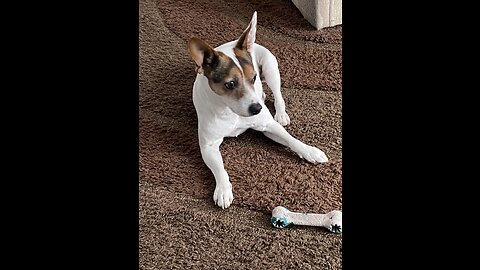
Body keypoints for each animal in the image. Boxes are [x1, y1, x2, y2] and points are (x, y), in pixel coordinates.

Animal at [186, 11, 328, 209]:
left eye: (253, 78)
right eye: (230, 84)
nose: (257, 108)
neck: (231, 112)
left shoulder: (268, 126)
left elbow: (291, 140)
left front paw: (310, 151)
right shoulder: (208, 146)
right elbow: (220, 168)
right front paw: (223, 189)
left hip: (270, 69)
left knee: (278, 95)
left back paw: (280, 113)